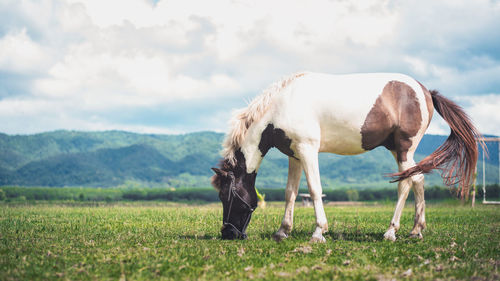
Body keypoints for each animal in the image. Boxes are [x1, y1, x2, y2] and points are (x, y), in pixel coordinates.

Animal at [210, 71, 480, 241]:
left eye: (227, 195)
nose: (228, 234)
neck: (281, 107)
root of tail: (425, 91)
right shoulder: (295, 155)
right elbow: (291, 193)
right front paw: (283, 231)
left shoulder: (308, 150)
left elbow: (315, 189)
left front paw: (319, 232)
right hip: (399, 150)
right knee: (418, 180)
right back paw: (416, 230)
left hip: (405, 149)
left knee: (405, 184)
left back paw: (391, 232)